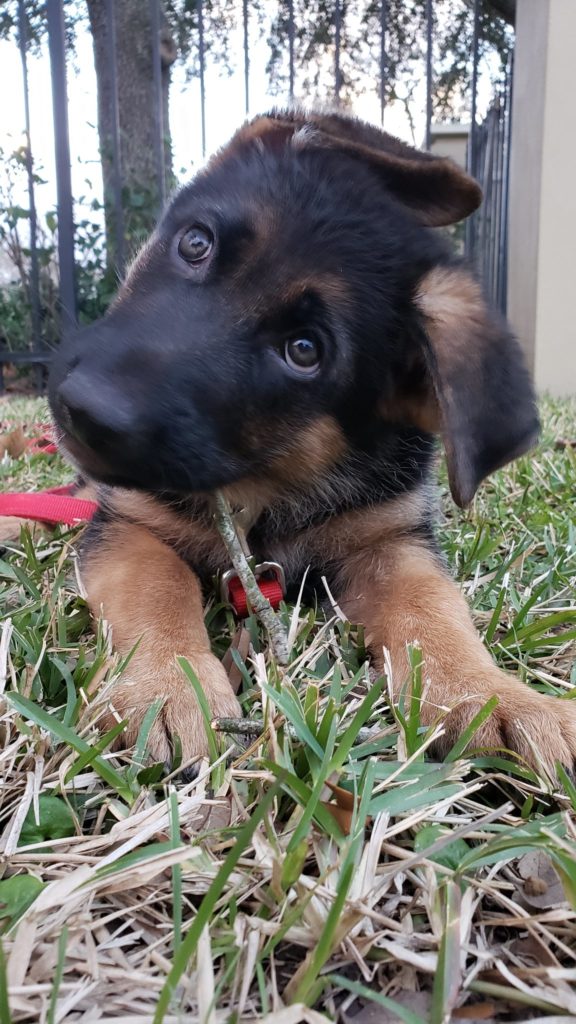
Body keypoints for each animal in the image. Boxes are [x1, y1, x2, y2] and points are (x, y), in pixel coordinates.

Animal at [49, 109, 576, 776]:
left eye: (304, 351)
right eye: (195, 243)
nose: (82, 410)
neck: (271, 485)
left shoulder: (392, 541)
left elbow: (435, 610)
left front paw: (492, 695)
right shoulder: (131, 523)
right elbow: (158, 589)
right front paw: (165, 688)